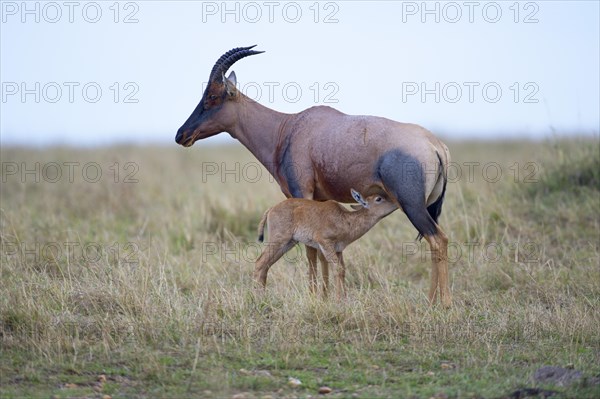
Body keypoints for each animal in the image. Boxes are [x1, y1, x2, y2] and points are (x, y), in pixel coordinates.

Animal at [176, 46, 452, 306]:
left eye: (212, 96)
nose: (181, 135)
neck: (289, 128)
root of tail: (435, 145)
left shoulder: (302, 192)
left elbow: (310, 251)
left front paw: (314, 297)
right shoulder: (318, 201)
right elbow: (320, 252)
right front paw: (326, 296)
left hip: (411, 204)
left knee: (438, 239)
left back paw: (441, 303)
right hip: (426, 205)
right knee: (436, 241)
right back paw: (432, 300)